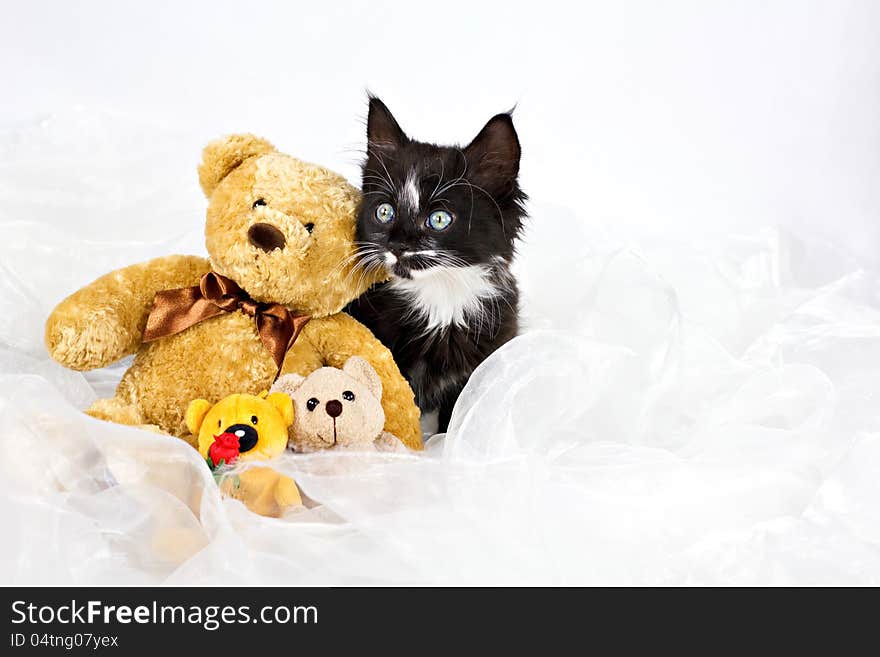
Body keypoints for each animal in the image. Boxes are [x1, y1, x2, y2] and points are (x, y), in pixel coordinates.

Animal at [346, 93, 524, 430]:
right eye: (385, 212)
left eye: (439, 219)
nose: (397, 246)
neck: (440, 301)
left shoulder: (480, 367)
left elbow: (456, 419)